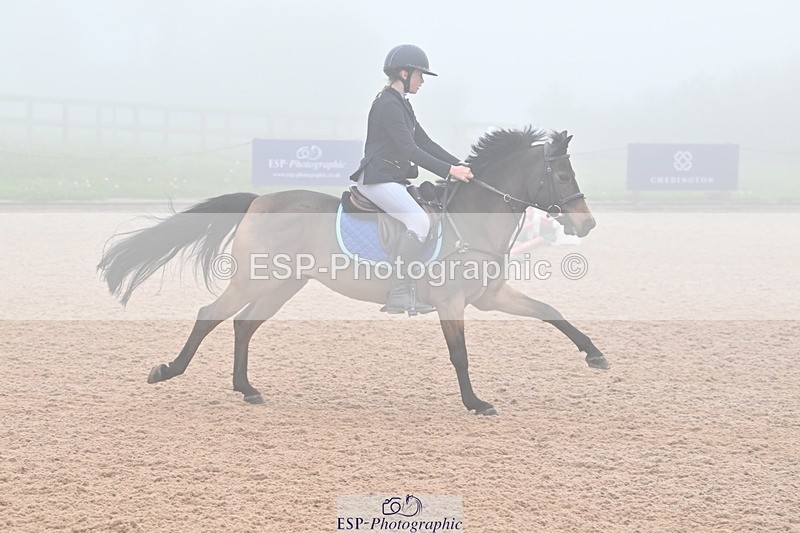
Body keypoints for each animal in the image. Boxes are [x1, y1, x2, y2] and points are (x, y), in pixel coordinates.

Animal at [98, 127, 609, 416]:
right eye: (562, 176)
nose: (587, 224)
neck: (473, 218)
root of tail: (259, 200)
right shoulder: (451, 302)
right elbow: (460, 355)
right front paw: (475, 403)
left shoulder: (489, 296)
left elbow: (549, 310)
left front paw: (595, 355)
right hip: (253, 279)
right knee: (211, 315)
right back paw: (168, 371)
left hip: (282, 284)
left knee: (244, 325)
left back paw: (246, 389)